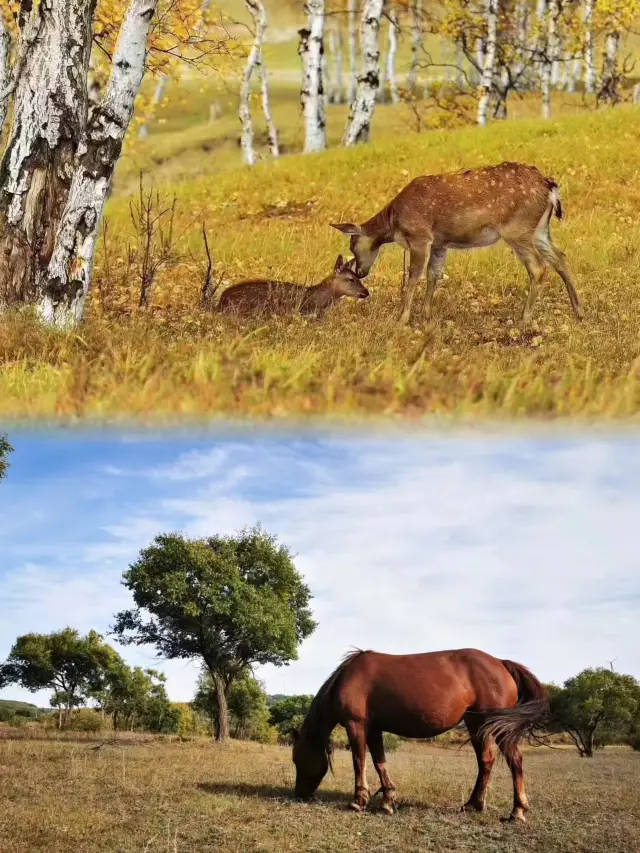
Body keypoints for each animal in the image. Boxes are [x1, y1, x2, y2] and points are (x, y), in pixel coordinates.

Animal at [292, 648, 548, 824]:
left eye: (297, 759)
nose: (299, 795)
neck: (348, 678)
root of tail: (501, 663)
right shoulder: (374, 728)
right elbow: (379, 762)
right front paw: (387, 801)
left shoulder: (357, 725)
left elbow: (359, 762)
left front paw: (358, 801)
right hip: (476, 724)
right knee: (486, 761)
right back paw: (473, 804)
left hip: (498, 726)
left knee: (515, 761)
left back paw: (517, 811)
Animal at [332, 162, 584, 326]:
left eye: (353, 245)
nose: (361, 273)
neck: (394, 221)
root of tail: (549, 187)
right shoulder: (440, 243)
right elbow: (434, 275)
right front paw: (426, 314)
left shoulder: (420, 237)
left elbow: (414, 276)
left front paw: (402, 317)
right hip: (540, 229)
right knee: (560, 257)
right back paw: (578, 311)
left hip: (517, 229)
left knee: (539, 267)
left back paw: (524, 319)